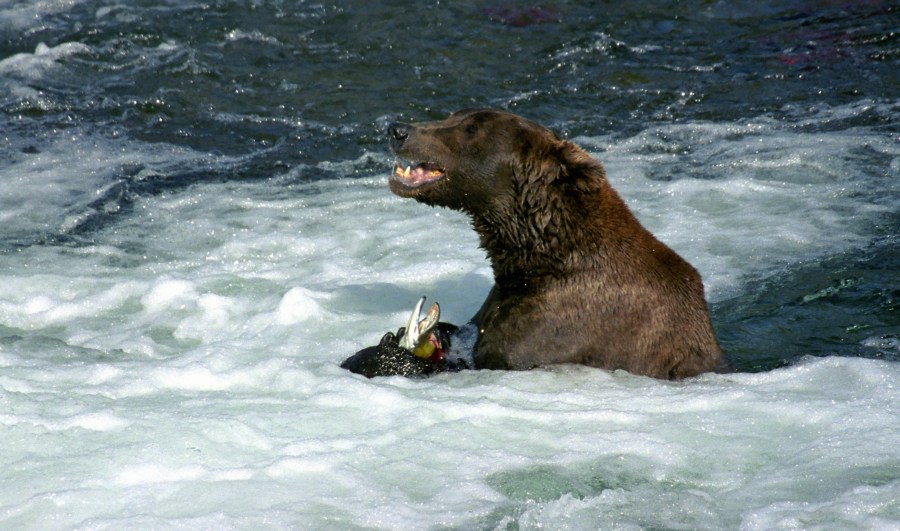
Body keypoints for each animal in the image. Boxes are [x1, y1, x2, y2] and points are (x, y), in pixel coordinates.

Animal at [344, 110, 724, 380]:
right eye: (453, 116)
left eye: (471, 128)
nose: (398, 129)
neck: (540, 258)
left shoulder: (558, 328)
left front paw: (387, 354)